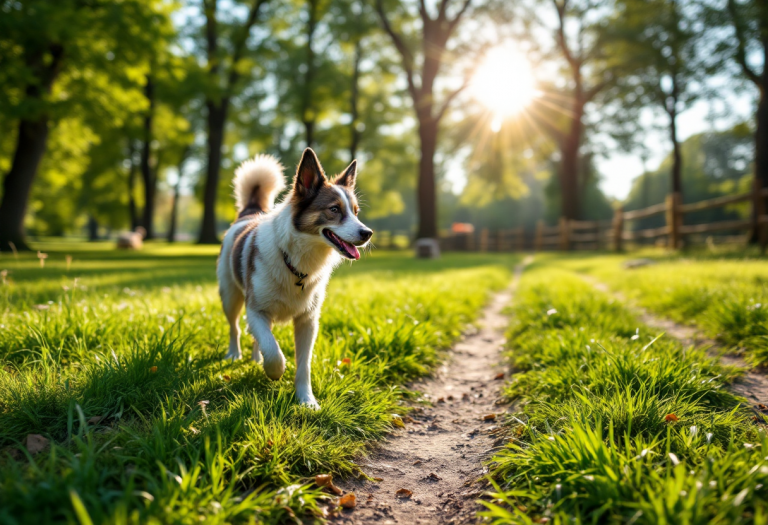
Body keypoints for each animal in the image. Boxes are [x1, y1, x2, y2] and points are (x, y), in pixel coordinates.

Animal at [216, 147, 372, 410]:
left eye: (356, 212)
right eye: (334, 209)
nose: (367, 233)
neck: (297, 261)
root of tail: (249, 213)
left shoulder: (308, 320)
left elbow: (303, 365)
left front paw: (306, 400)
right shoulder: (255, 309)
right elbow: (273, 351)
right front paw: (275, 372)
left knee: (254, 335)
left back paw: (254, 359)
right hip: (230, 296)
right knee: (235, 328)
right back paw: (234, 354)